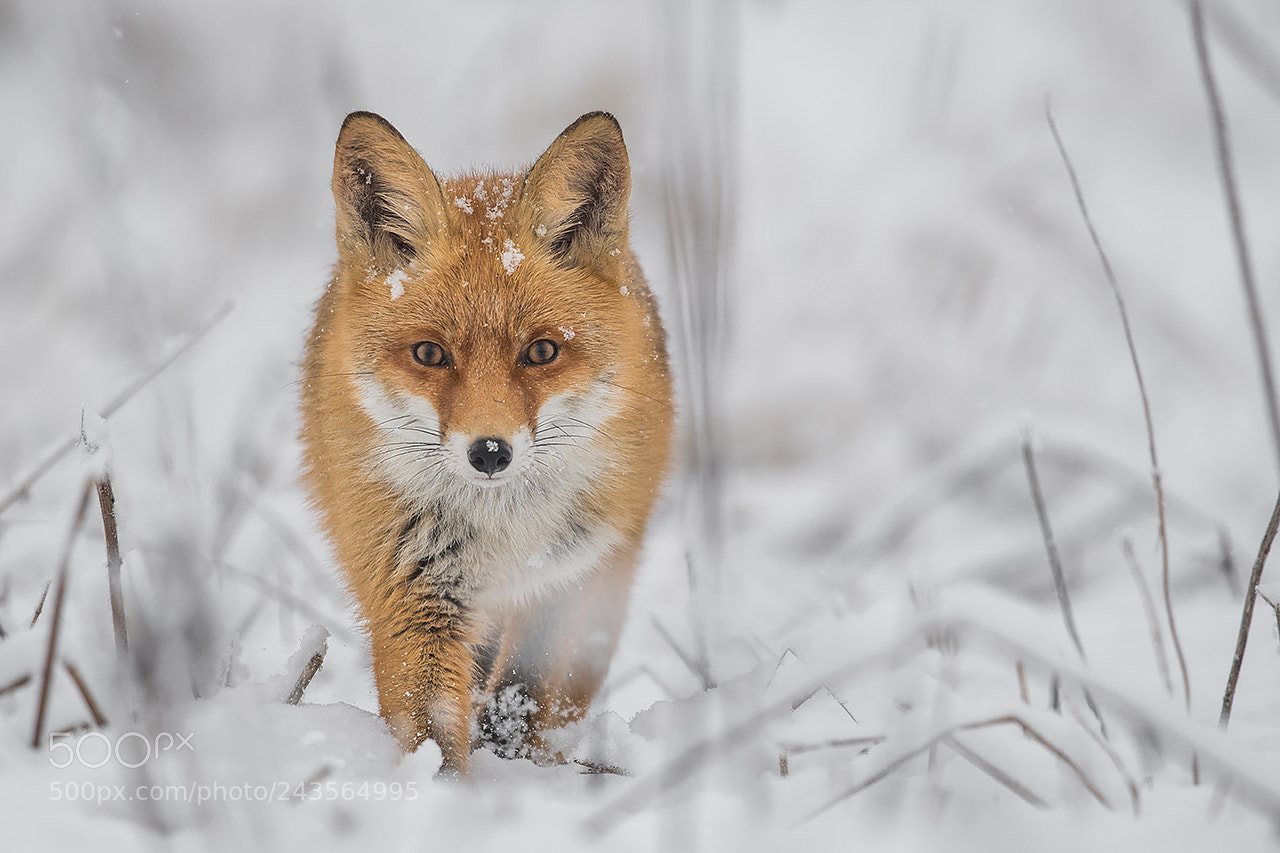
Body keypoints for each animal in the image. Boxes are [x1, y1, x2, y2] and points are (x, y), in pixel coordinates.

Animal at [299, 110, 673, 775]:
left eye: (542, 351)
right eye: (430, 354)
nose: (490, 452)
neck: (504, 528)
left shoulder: (572, 580)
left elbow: (529, 692)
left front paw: (515, 760)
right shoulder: (412, 592)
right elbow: (431, 725)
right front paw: (443, 789)